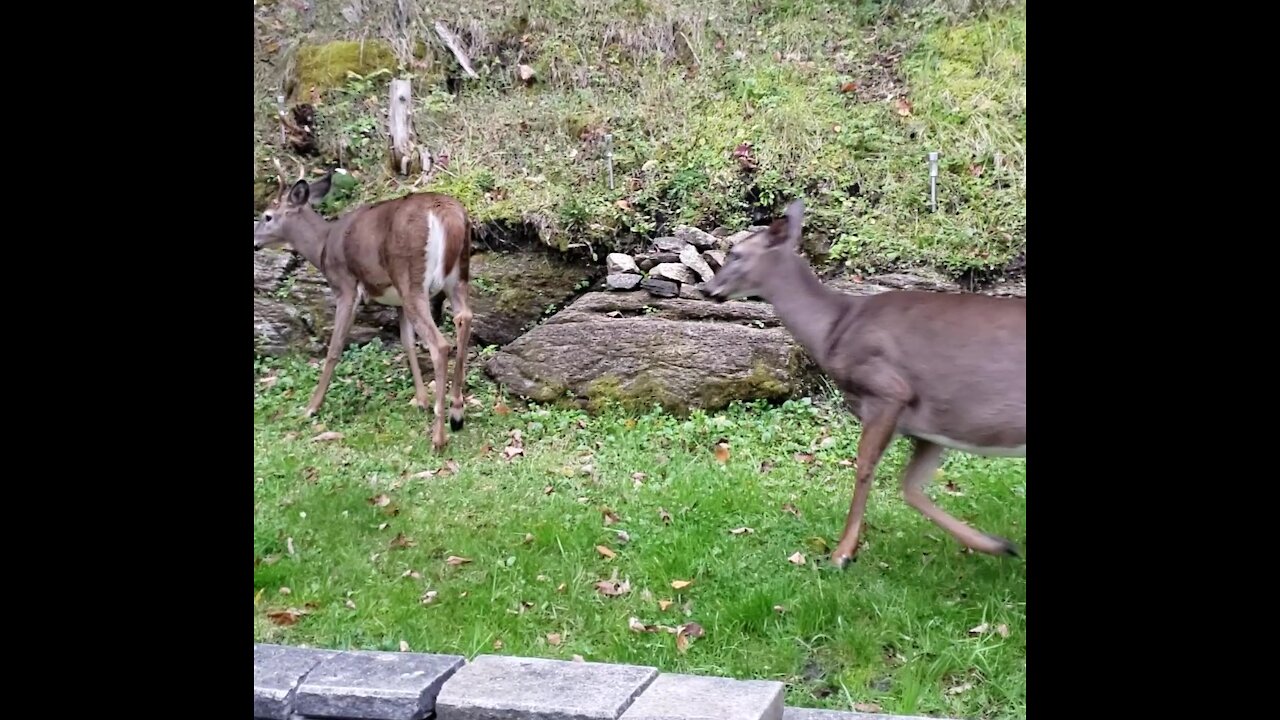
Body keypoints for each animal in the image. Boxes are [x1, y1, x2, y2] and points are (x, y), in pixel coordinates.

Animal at [252, 162, 473, 450]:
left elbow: (335, 347)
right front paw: (422, 401)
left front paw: (311, 407)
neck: (322, 246)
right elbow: (407, 343)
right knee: (464, 318)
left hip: (411, 277)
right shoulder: (396, 300)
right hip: (456, 277)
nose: (254, 242)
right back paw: (457, 413)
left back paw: (439, 437)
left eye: (267, 216)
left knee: (440, 344)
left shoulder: (345, 285)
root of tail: (448, 215)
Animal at [696, 198, 1024, 563]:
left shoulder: (888, 390)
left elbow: (865, 468)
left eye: (737, 254)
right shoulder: (934, 421)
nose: (706, 288)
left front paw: (841, 553)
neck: (834, 329)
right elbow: (910, 487)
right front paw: (997, 544)